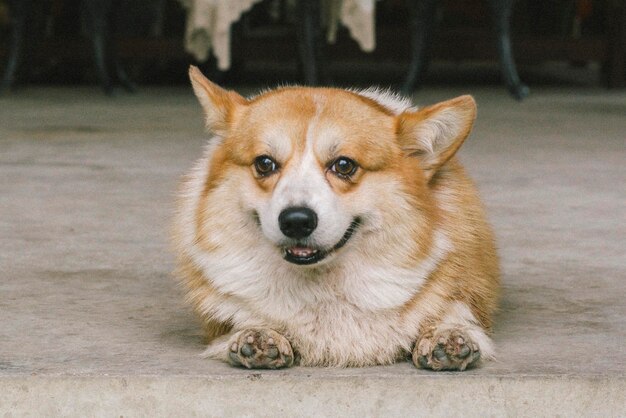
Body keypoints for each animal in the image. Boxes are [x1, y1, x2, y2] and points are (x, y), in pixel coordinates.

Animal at [174, 66, 498, 372]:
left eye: (344, 165)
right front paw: (258, 334)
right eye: (264, 163)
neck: (323, 287)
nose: (296, 221)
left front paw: (448, 335)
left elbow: (449, 312)